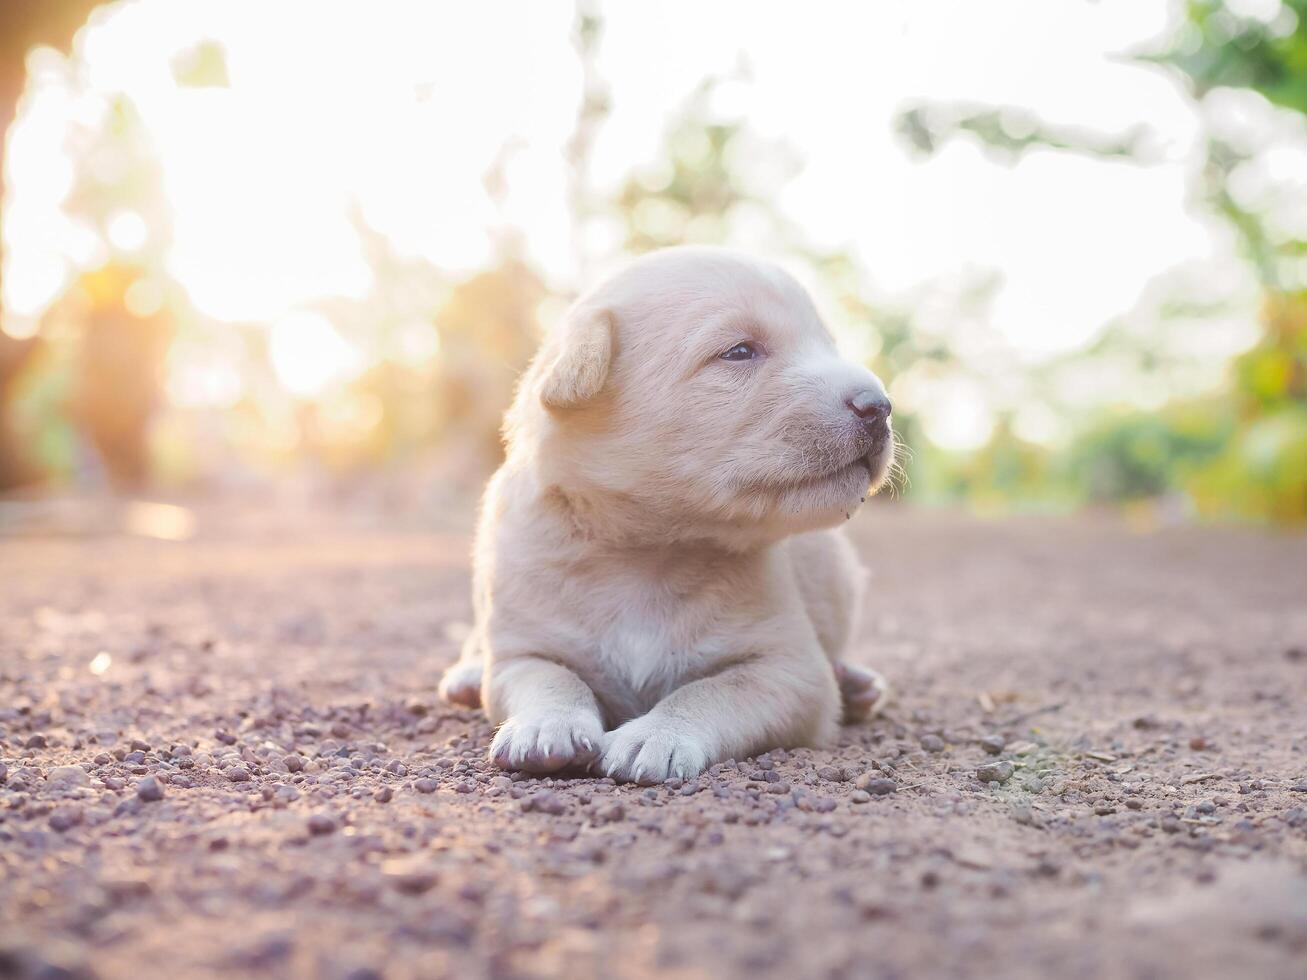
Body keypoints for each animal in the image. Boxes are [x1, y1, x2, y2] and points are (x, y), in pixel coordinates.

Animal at [439, 249, 899, 789]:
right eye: (739, 352)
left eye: (828, 344)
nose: (881, 406)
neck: (651, 551)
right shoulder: (524, 645)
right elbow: (549, 676)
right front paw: (545, 725)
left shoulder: (791, 670)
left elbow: (711, 691)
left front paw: (654, 735)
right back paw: (468, 673)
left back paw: (857, 683)